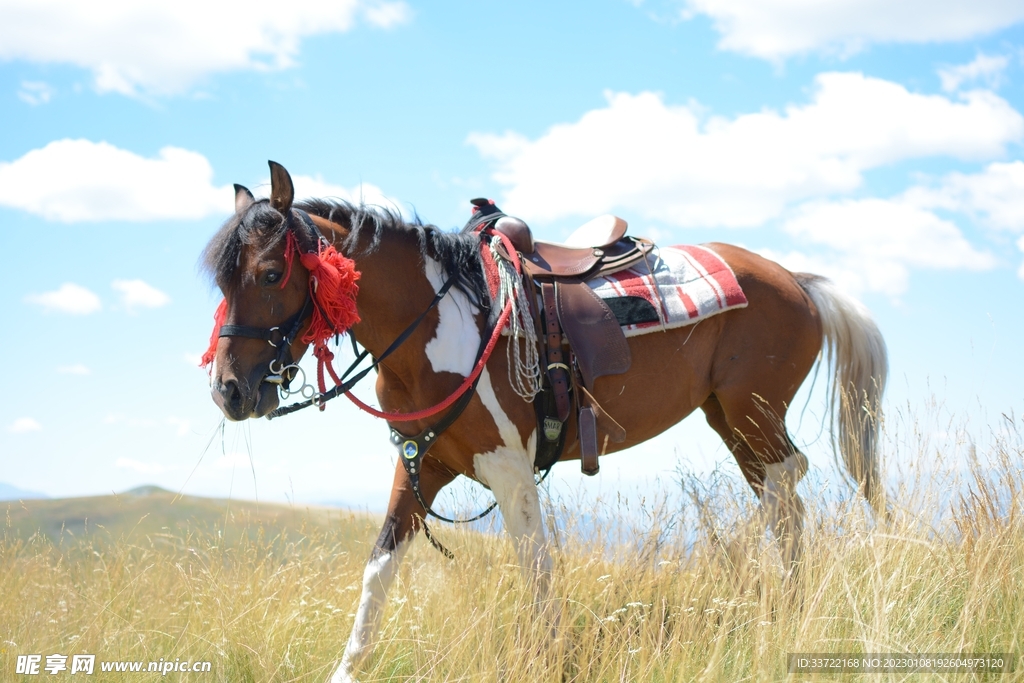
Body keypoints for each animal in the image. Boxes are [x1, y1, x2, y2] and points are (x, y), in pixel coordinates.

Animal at [201, 162, 887, 682]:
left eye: (270, 273)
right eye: (223, 281)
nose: (229, 391)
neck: (436, 323)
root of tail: (796, 280)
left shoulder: (509, 469)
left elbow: (535, 568)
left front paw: (549, 659)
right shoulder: (420, 465)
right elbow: (378, 571)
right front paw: (347, 670)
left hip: (753, 414)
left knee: (784, 492)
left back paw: (790, 615)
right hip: (733, 421)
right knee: (780, 496)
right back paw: (784, 610)